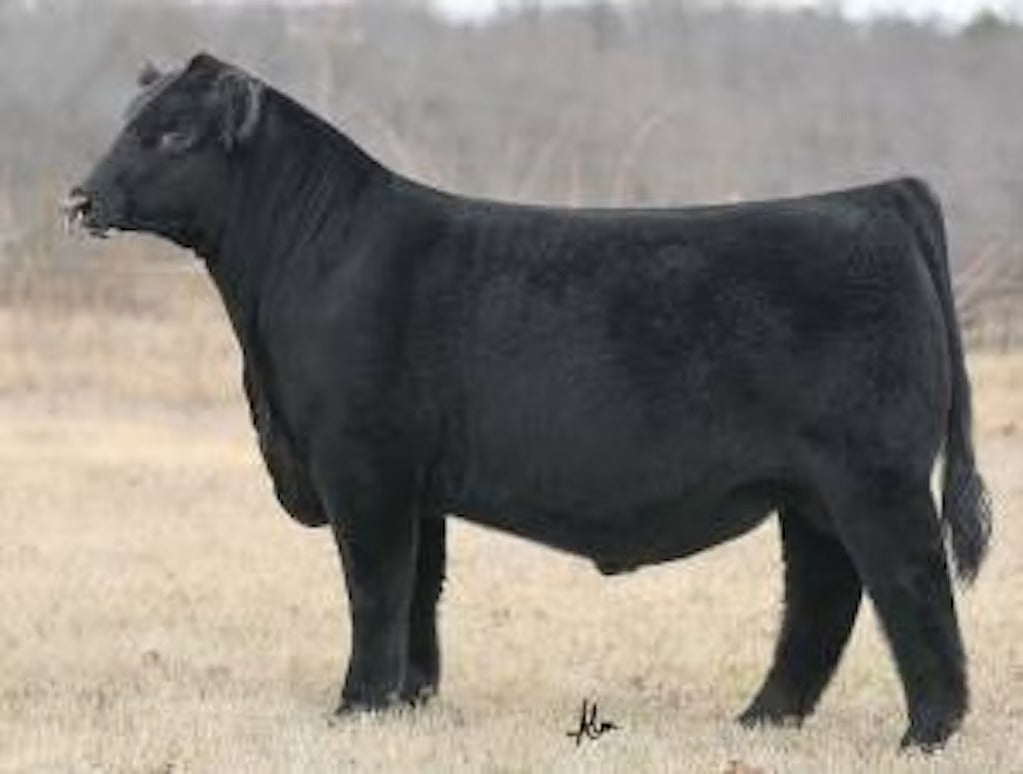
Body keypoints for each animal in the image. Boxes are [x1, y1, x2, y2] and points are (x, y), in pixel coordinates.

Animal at [65, 53, 991, 750]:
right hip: (810, 492)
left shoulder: (363, 464)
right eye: (130, 117)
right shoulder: (415, 482)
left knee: (910, 585)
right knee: (822, 598)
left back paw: (924, 733)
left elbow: (373, 585)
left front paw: (355, 707)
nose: (81, 198)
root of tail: (879, 196)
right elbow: (418, 589)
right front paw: (408, 701)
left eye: (172, 132)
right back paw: (761, 721)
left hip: (874, 478)